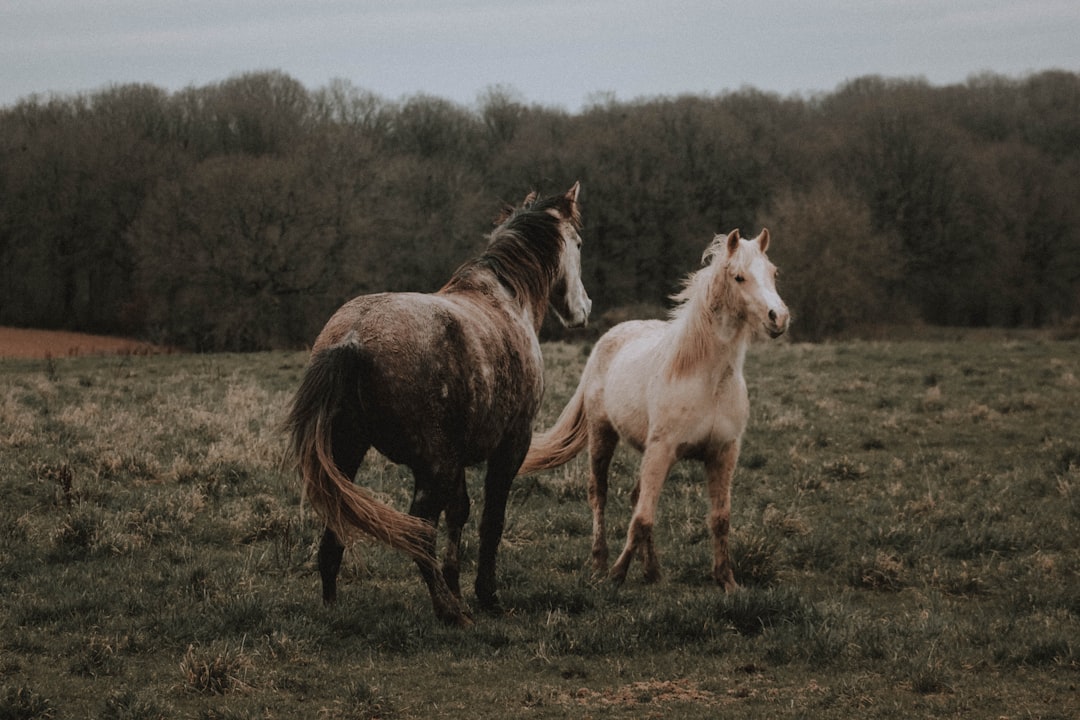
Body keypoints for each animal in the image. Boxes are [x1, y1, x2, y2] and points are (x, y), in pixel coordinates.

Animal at [285, 184, 591, 626]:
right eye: (578, 243)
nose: (583, 310)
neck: (504, 298)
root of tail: (353, 338)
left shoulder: (458, 457)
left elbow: (459, 513)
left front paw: (458, 586)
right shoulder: (511, 446)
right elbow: (490, 520)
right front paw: (485, 596)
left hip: (348, 452)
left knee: (336, 529)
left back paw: (335, 606)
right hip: (432, 468)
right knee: (419, 531)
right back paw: (449, 611)